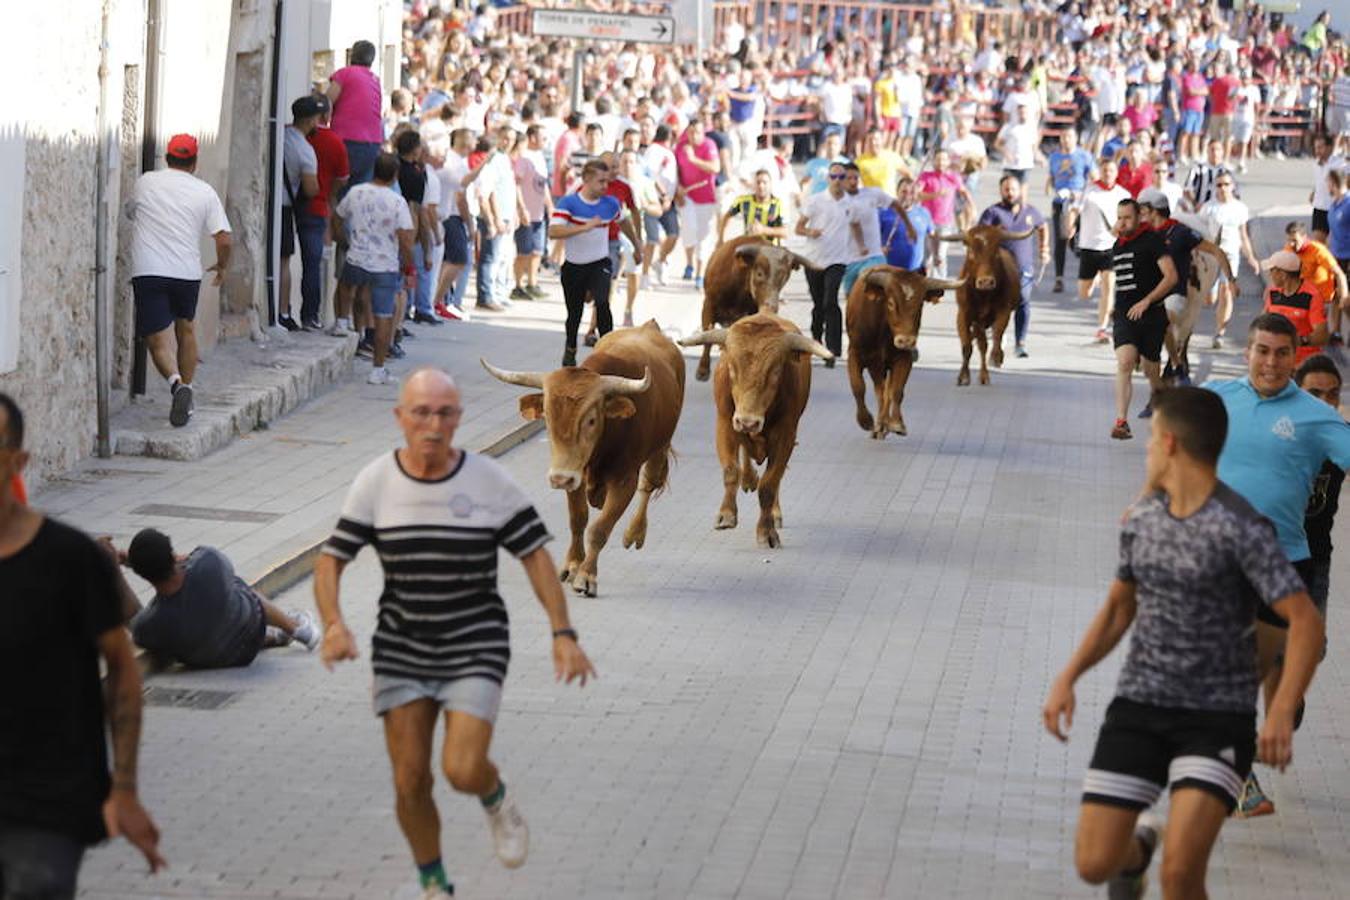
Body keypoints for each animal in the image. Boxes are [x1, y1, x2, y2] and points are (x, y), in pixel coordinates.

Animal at [480, 319, 685, 593]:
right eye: (547, 417)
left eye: (591, 420)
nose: (558, 479)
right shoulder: (575, 475)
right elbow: (578, 520)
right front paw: (572, 565)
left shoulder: (624, 482)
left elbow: (599, 529)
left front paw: (587, 575)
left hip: (660, 446)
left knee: (649, 483)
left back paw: (634, 533)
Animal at [680, 310, 826, 550]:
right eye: (731, 367)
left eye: (775, 371)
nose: (748, 422)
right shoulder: (725, 424)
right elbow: (731, 470)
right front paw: (726, 515)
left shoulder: (786, 436)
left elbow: (769, 484)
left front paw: (767, 532)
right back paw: (748, 479)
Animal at [842, 265, 961, 437]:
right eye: (891, 303)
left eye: (920, 305)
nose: (905, 340)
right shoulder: (855, 354)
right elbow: (858, 387)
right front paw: (865, 421)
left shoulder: (904, 358)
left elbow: (896, 391)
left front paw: (897, 422)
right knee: (879, 391)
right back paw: (878, 425)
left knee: (885, 392)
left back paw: (883, 424)